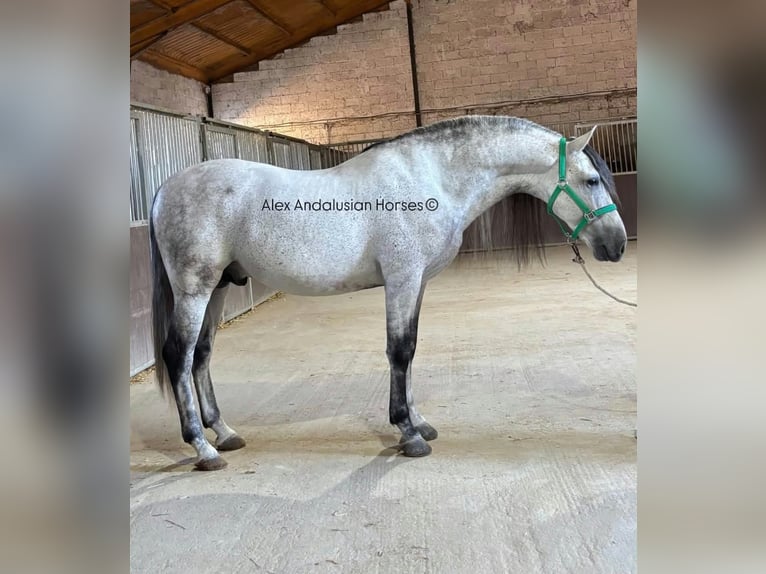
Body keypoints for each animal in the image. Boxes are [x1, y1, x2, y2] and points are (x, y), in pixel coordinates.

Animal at [149, 116, 626, 471]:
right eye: (591, 180)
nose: (617, 245)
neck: (432, 177)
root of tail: (164, 190)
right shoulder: (402, 279)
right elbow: (400, 351)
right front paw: (409, 434)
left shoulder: (416, 283)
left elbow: (411, 349)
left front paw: (419, 422)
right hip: (195, 288)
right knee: (178, 355)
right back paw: (202, 447)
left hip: (217, 289)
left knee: (201, 355)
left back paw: (224, 433)